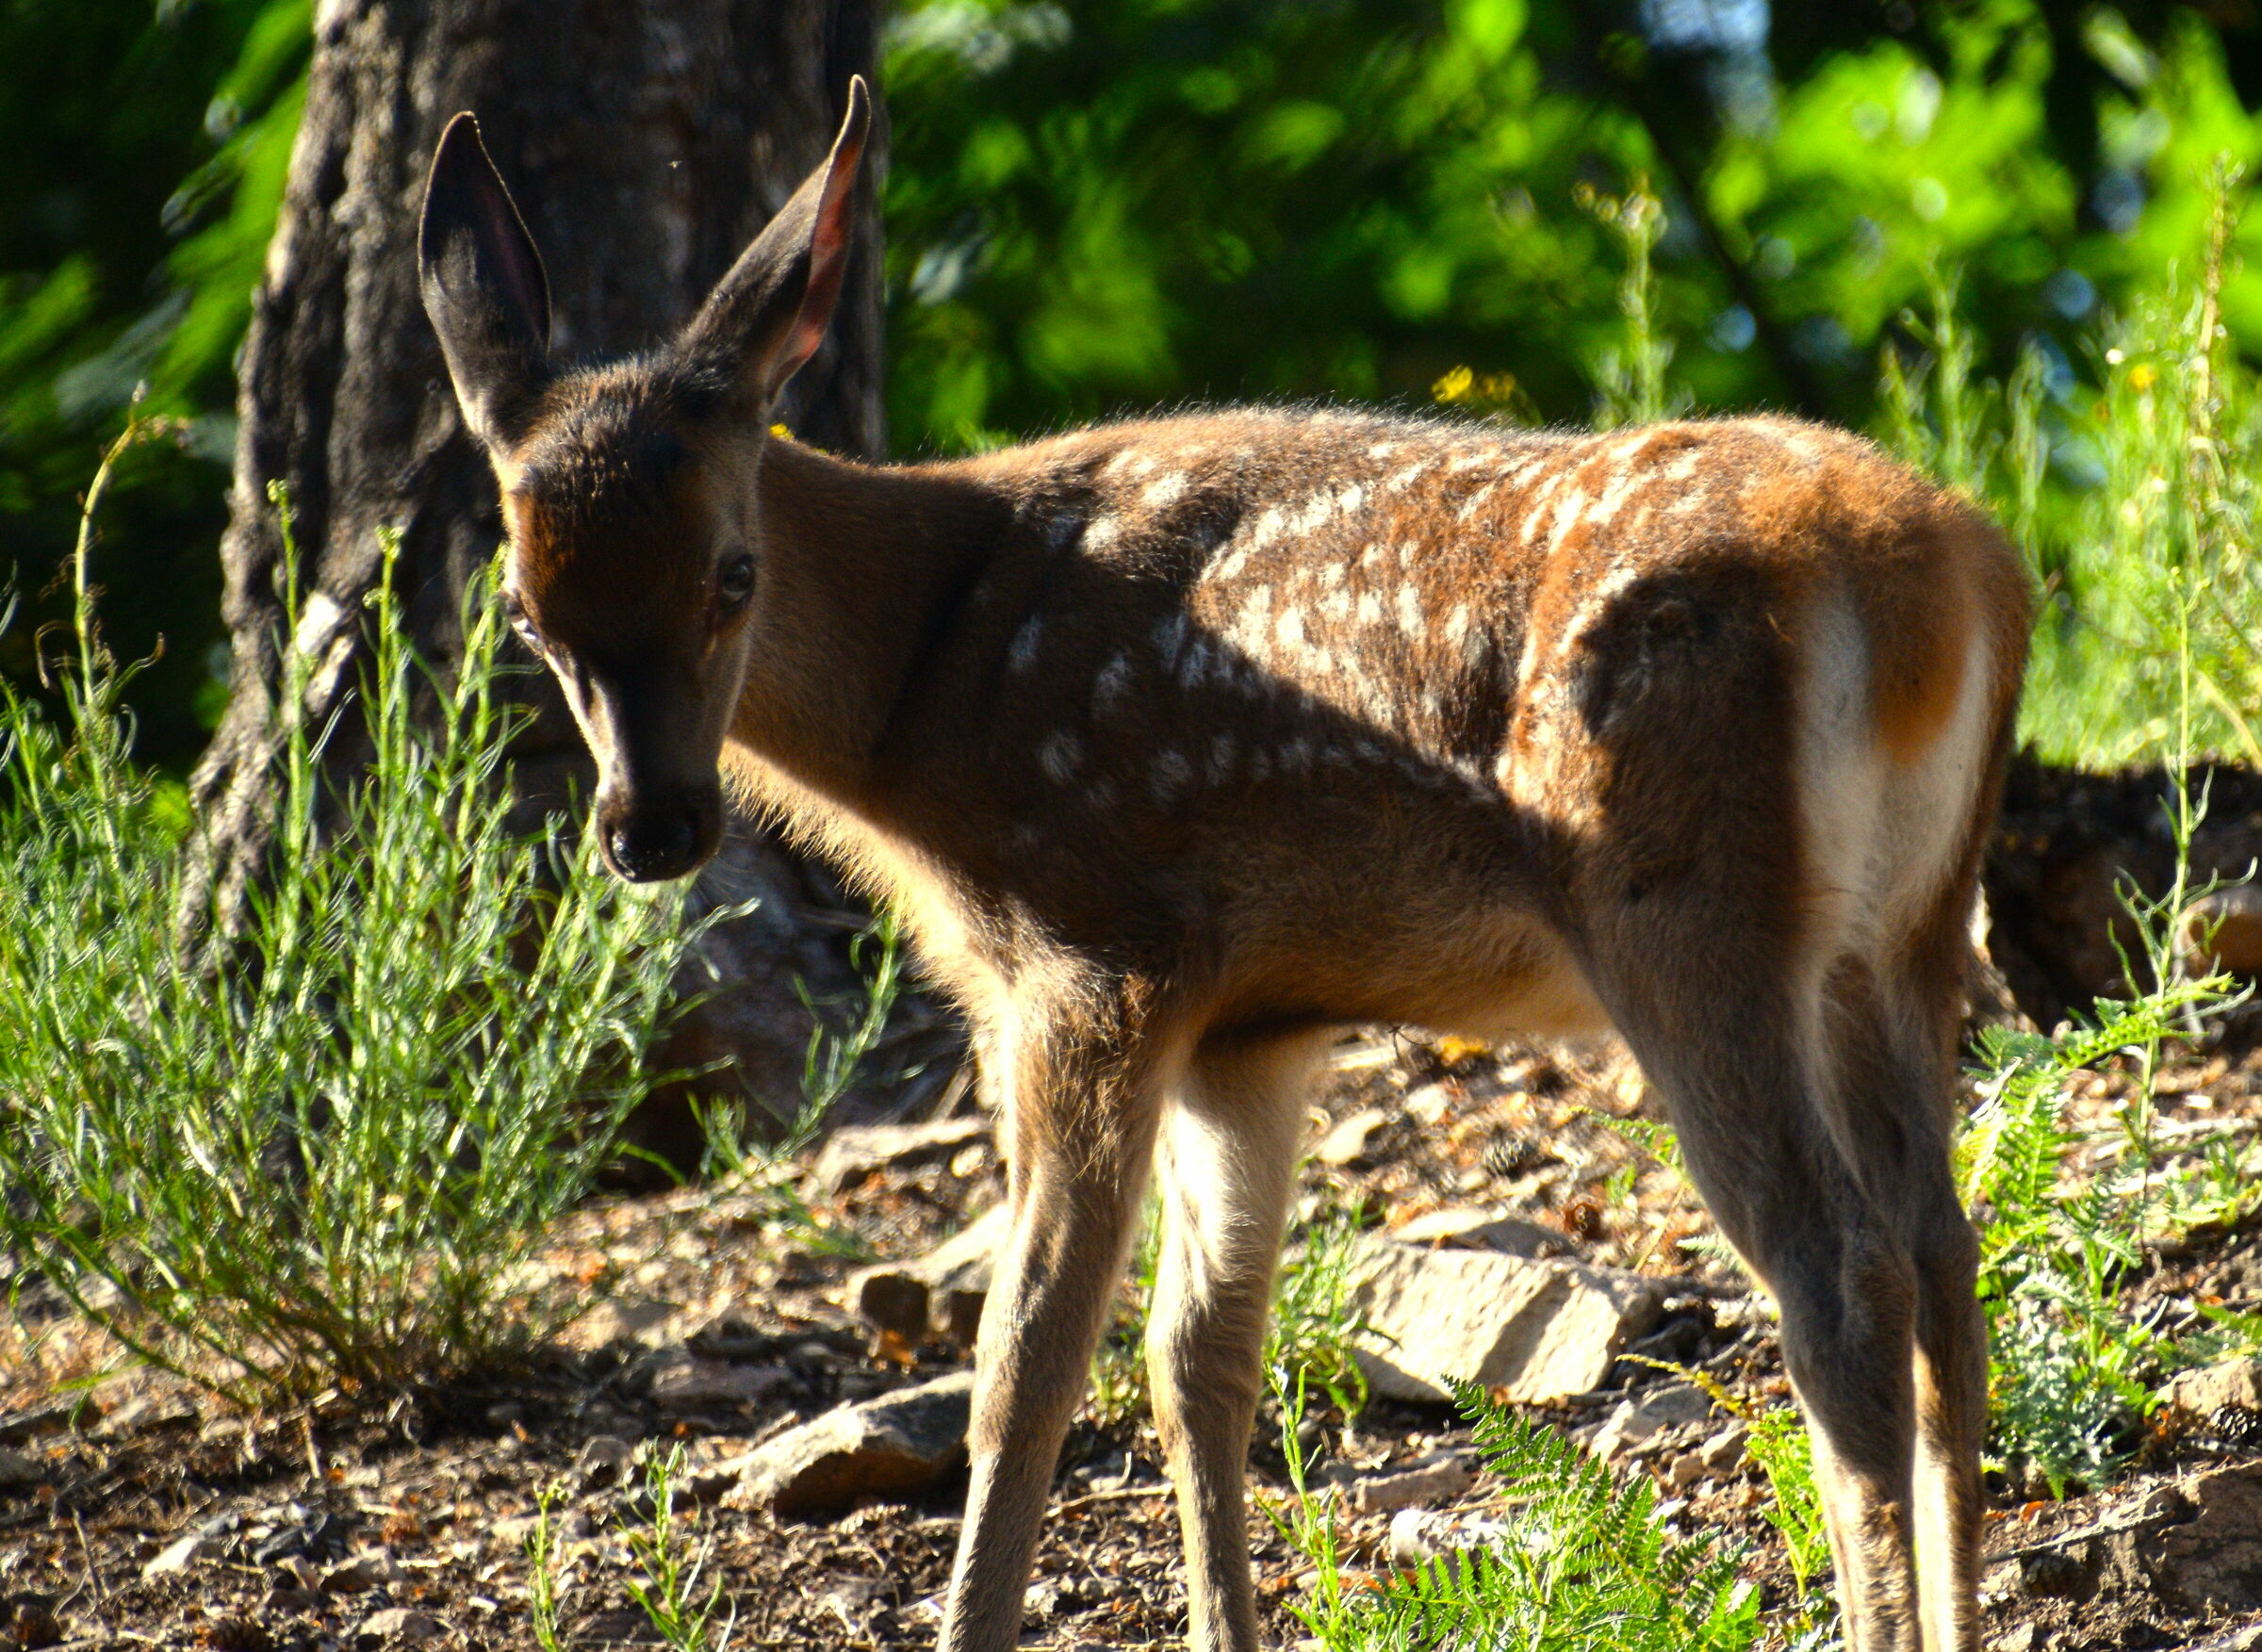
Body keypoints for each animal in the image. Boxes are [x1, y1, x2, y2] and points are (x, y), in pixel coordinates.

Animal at [418, 77, 2030, 1652]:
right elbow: (1200, 1352)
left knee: (1840, 1271)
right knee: (1943, 1256)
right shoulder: (1250, 1024)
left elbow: (1030, 1358)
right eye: (526, 611)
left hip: (1690, 909)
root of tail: (1937, 586)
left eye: (730, 576)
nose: (652, 827)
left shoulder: (1098, 957)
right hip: (1901, 931)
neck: (924, 697)